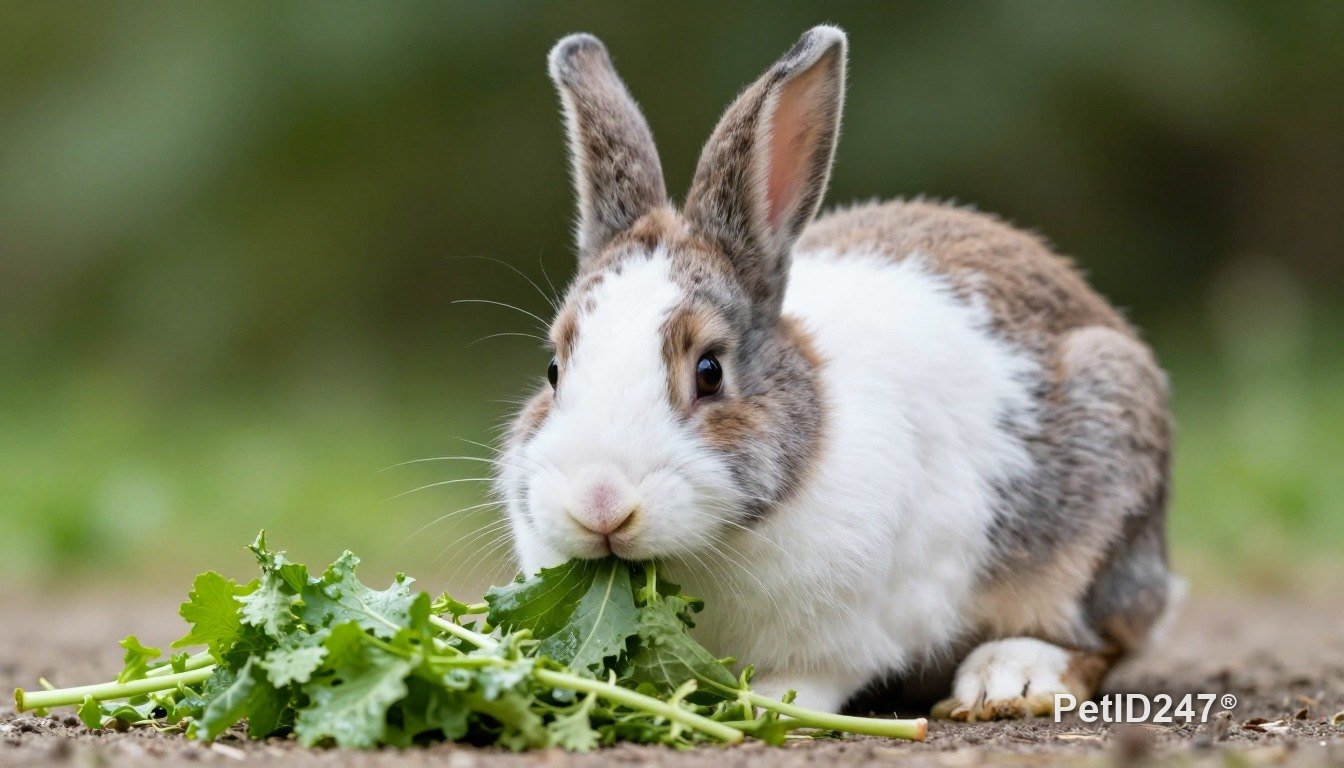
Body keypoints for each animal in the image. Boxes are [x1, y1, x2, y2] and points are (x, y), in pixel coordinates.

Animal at [495, 25, 1176, 720]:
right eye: (553, 369)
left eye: (709, 371)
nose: (600, 504)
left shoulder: (850, 634)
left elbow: (814, 677)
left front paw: (766, 702)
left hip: (1101, 501)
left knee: (1106, 636)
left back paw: (1009, 680)